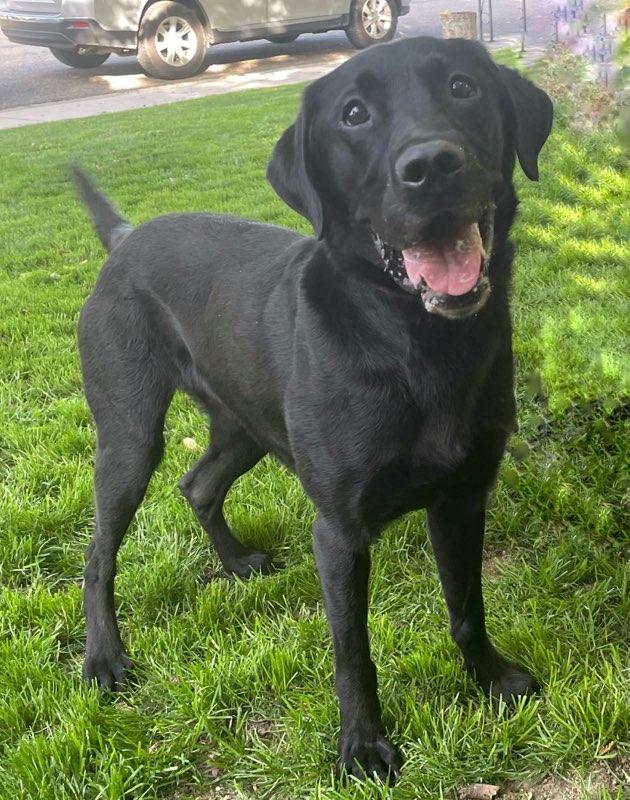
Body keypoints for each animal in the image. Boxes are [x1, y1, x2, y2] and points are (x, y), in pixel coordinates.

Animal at [75, 36, 552, 780]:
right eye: (353, 115)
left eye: (463, 86)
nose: (432, 166)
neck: (417, 342)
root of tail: (124, 238)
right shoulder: (339, 531)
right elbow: (352, 651)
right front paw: (362, 746)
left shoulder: (462, 498)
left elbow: (466, 607)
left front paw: (491, 679)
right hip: (128, 436)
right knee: (100, 551)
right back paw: (103, 658)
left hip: (243, 425)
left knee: (198, 483)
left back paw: (235, 562)